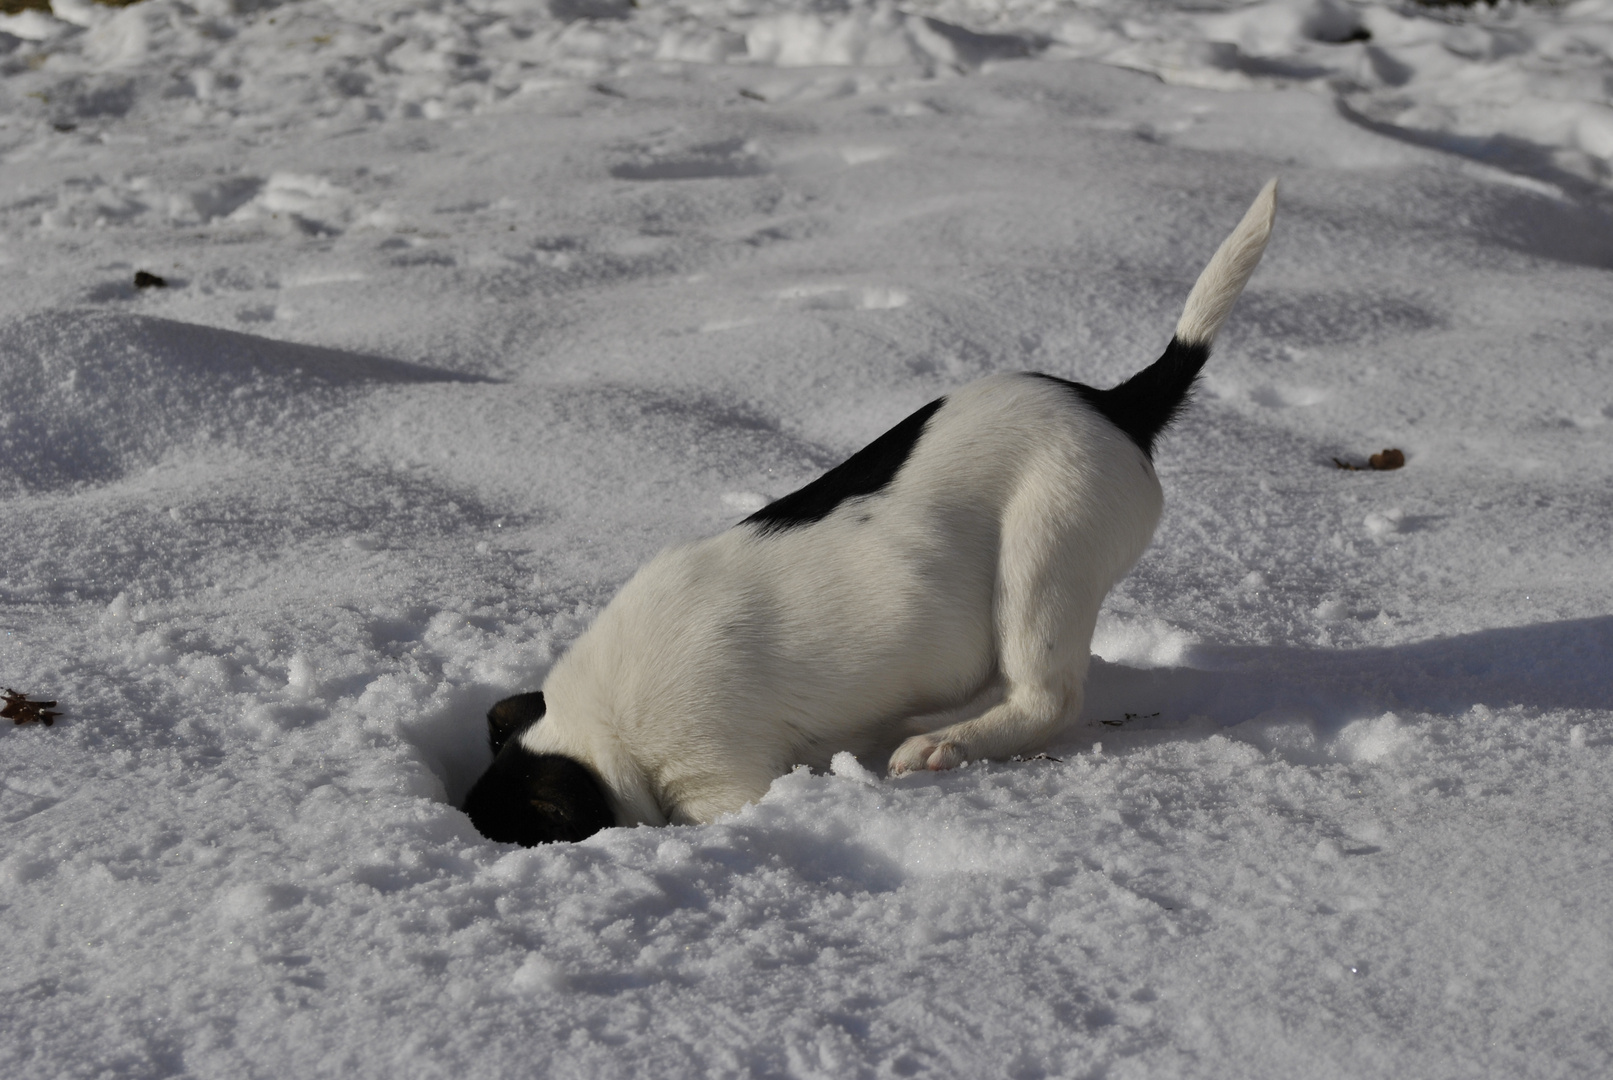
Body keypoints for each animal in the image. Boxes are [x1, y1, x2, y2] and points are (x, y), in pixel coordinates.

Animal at [461, 182, 1277, 851]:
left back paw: (939, 745)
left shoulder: (722, 779)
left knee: (1047, 696)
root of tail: (1116, 405)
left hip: (1045, 557)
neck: (599, 731)